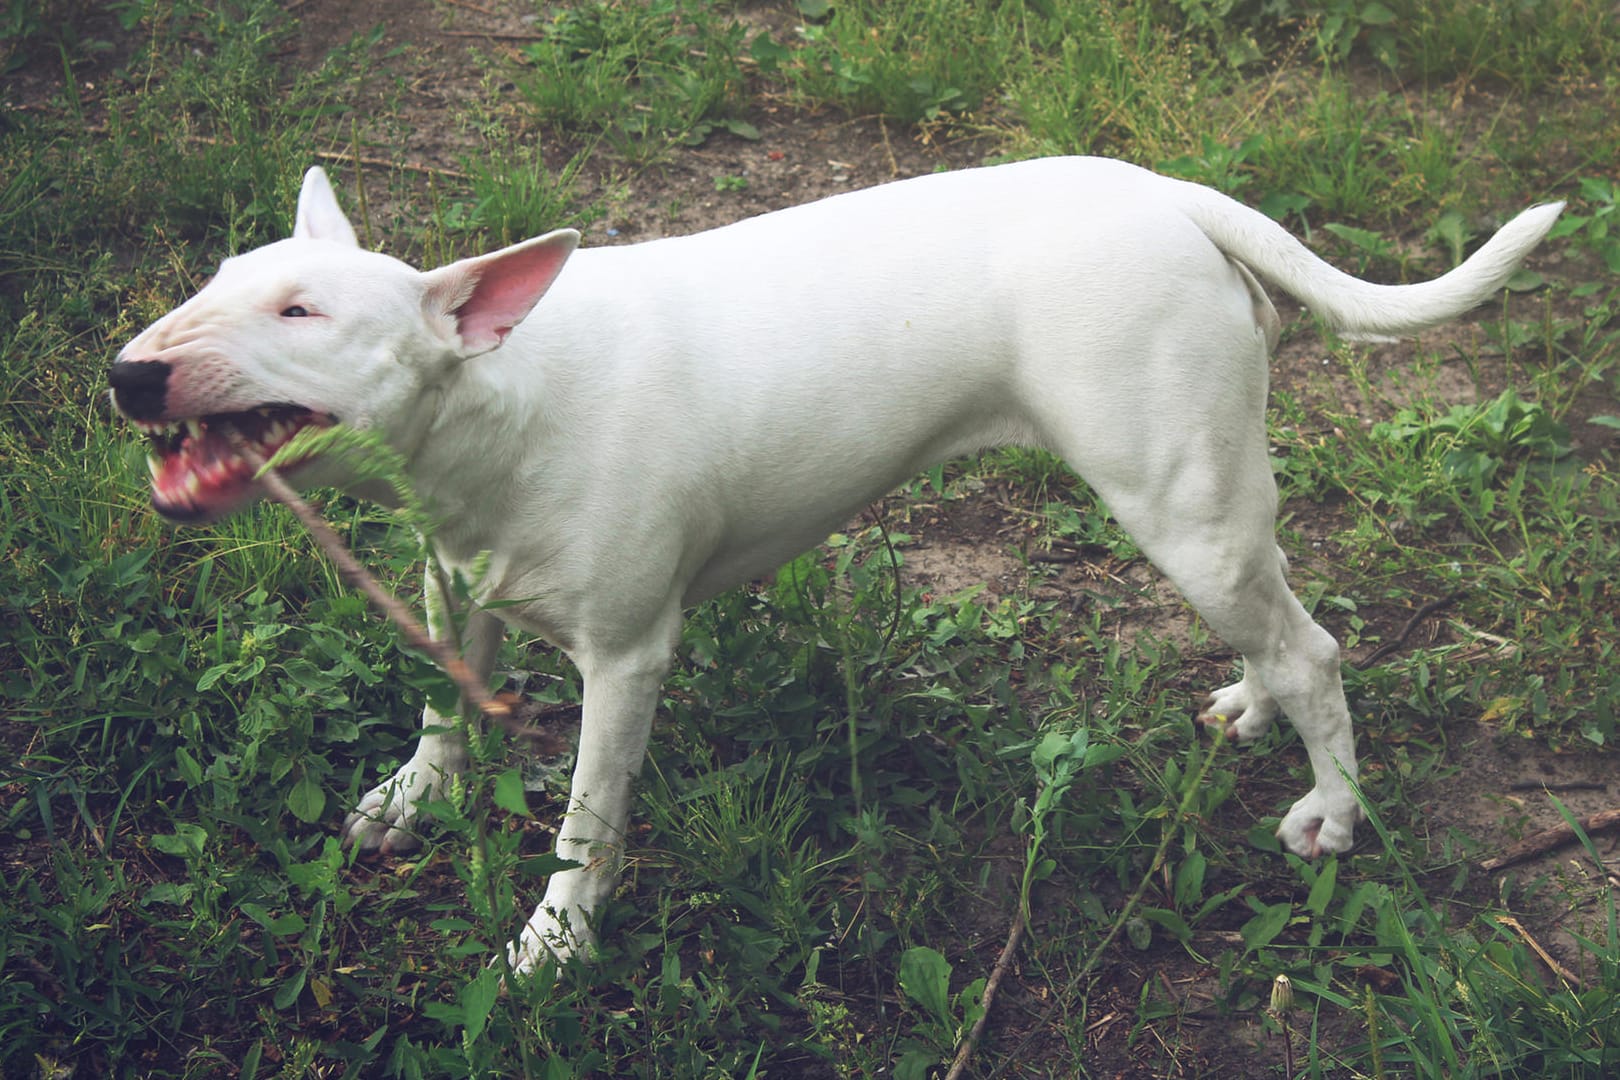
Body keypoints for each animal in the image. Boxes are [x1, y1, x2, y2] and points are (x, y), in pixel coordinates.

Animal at [110, 156, 1555, 977]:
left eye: (301, 311)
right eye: (217, 277)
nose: (127, 376)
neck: (500, 394)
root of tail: (1168, 193)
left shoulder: (627, 658)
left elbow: (585, 818)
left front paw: (554, 945)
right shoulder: (449, 589)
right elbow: (440, 711)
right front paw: (413, 800)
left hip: (1176, 497)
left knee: (1312, 645)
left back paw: (1334, 815)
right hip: (1202, 500)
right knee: (1273, 618)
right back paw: (1250, 707)